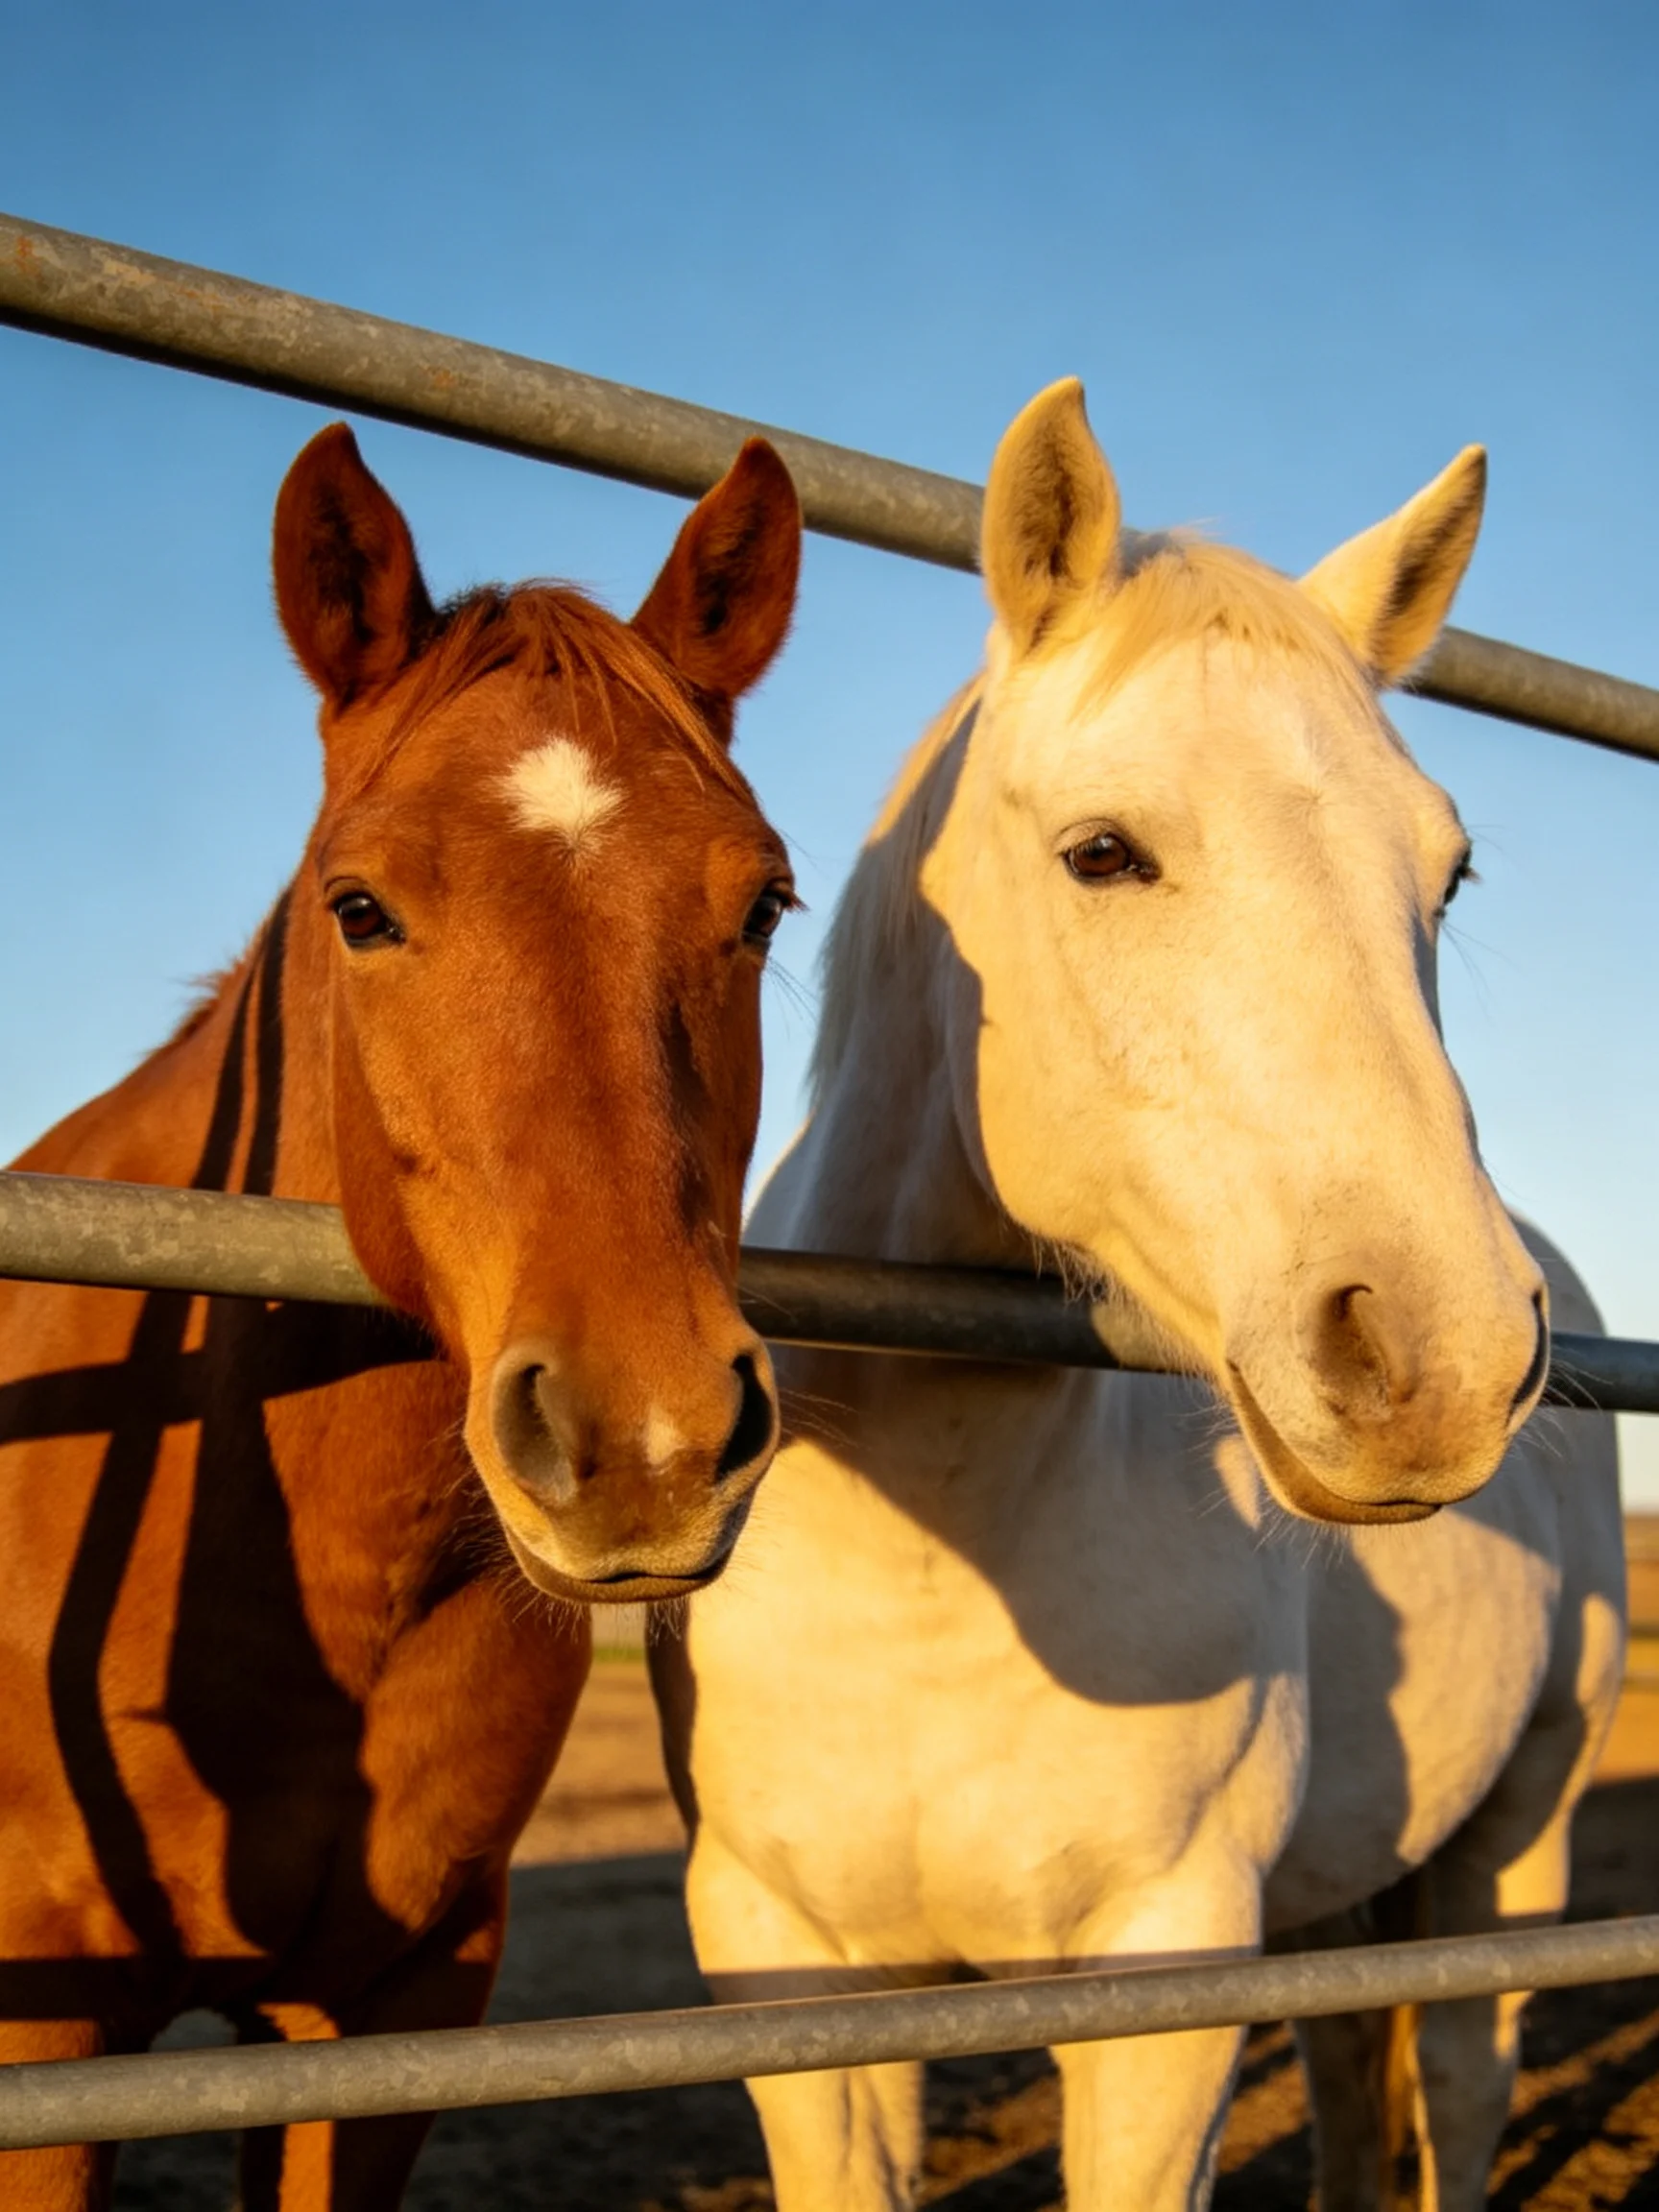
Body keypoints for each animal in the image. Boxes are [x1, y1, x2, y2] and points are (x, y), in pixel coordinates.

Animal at [655, 382, 1625, 2210]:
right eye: (1102, 852)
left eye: (1446, 875)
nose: (1443, 1354)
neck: (940, 1568)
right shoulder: (789, 1978)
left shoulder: (1165, 1985)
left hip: (1518, 1825)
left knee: (1465, 2080)